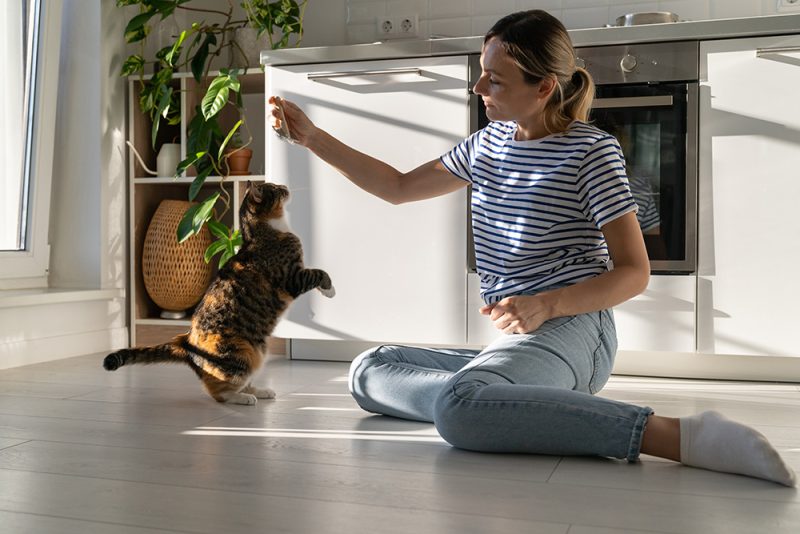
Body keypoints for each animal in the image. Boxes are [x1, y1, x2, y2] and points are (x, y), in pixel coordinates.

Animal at [103, 182, 334, 404]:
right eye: (275, 188)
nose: (285, 186)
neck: (264, 232)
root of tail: (186, 342)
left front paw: (325, 290)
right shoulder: (292, 277)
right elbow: (318, 272)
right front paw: (330, 289)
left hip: (257, 352)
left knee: (243, 380)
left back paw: (261, 391)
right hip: (241, 353)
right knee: (218, 391)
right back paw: (243, 398)